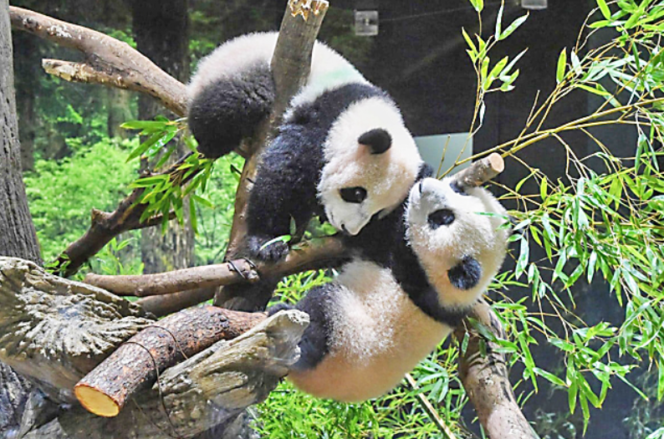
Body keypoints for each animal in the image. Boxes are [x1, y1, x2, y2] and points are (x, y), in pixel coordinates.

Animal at [188, 32, 423, 261]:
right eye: (357, 194)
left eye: (377, 213)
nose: (348, 228)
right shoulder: (323, 122)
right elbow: (282, 173)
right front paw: (269, 242)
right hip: (241, 68)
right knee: (236, 101)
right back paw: (213, 143)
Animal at [269, 176, 510, 402]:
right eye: (457, 190)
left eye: (442, 218)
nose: (423, 186)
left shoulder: (408, 265)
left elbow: (373, 234)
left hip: (343, 337)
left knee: (319, 317)